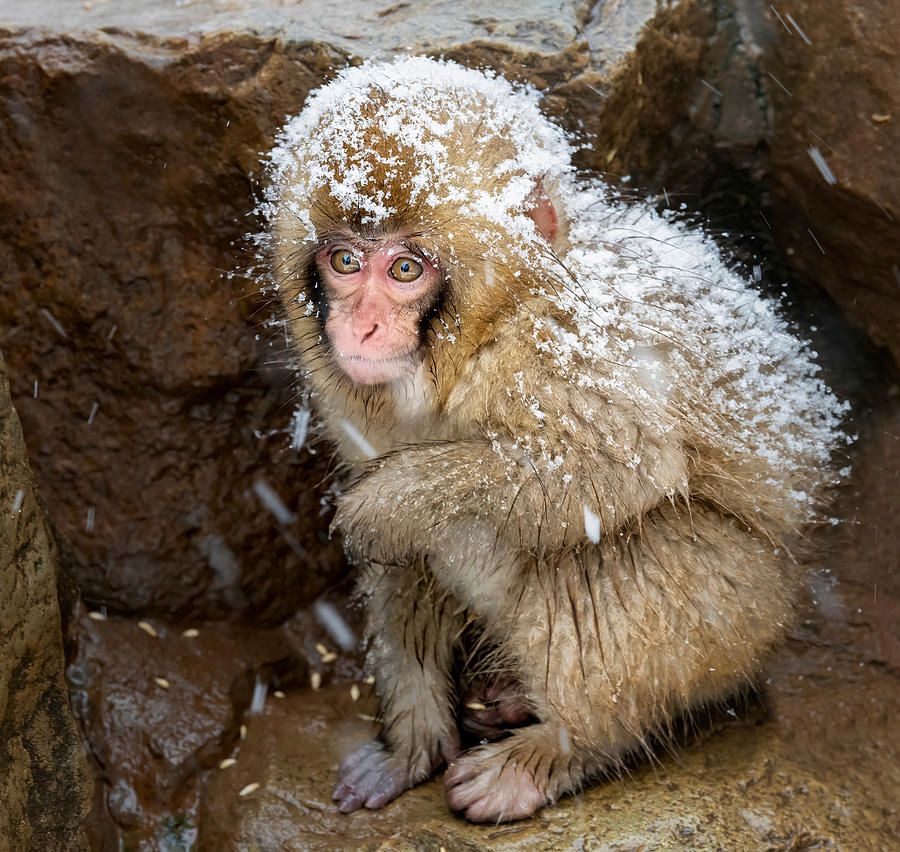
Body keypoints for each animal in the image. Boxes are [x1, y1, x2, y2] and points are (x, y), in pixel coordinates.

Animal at [261, 57, 846, 823]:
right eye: (345, 262)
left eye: (406, 269)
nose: (359, 327)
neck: (477, 337)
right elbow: (400, 557)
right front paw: (408, 743)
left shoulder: (556, 346)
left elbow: (619, 466)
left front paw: (389, 501)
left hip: (738, 617)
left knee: (593, 551)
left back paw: (558, 752)